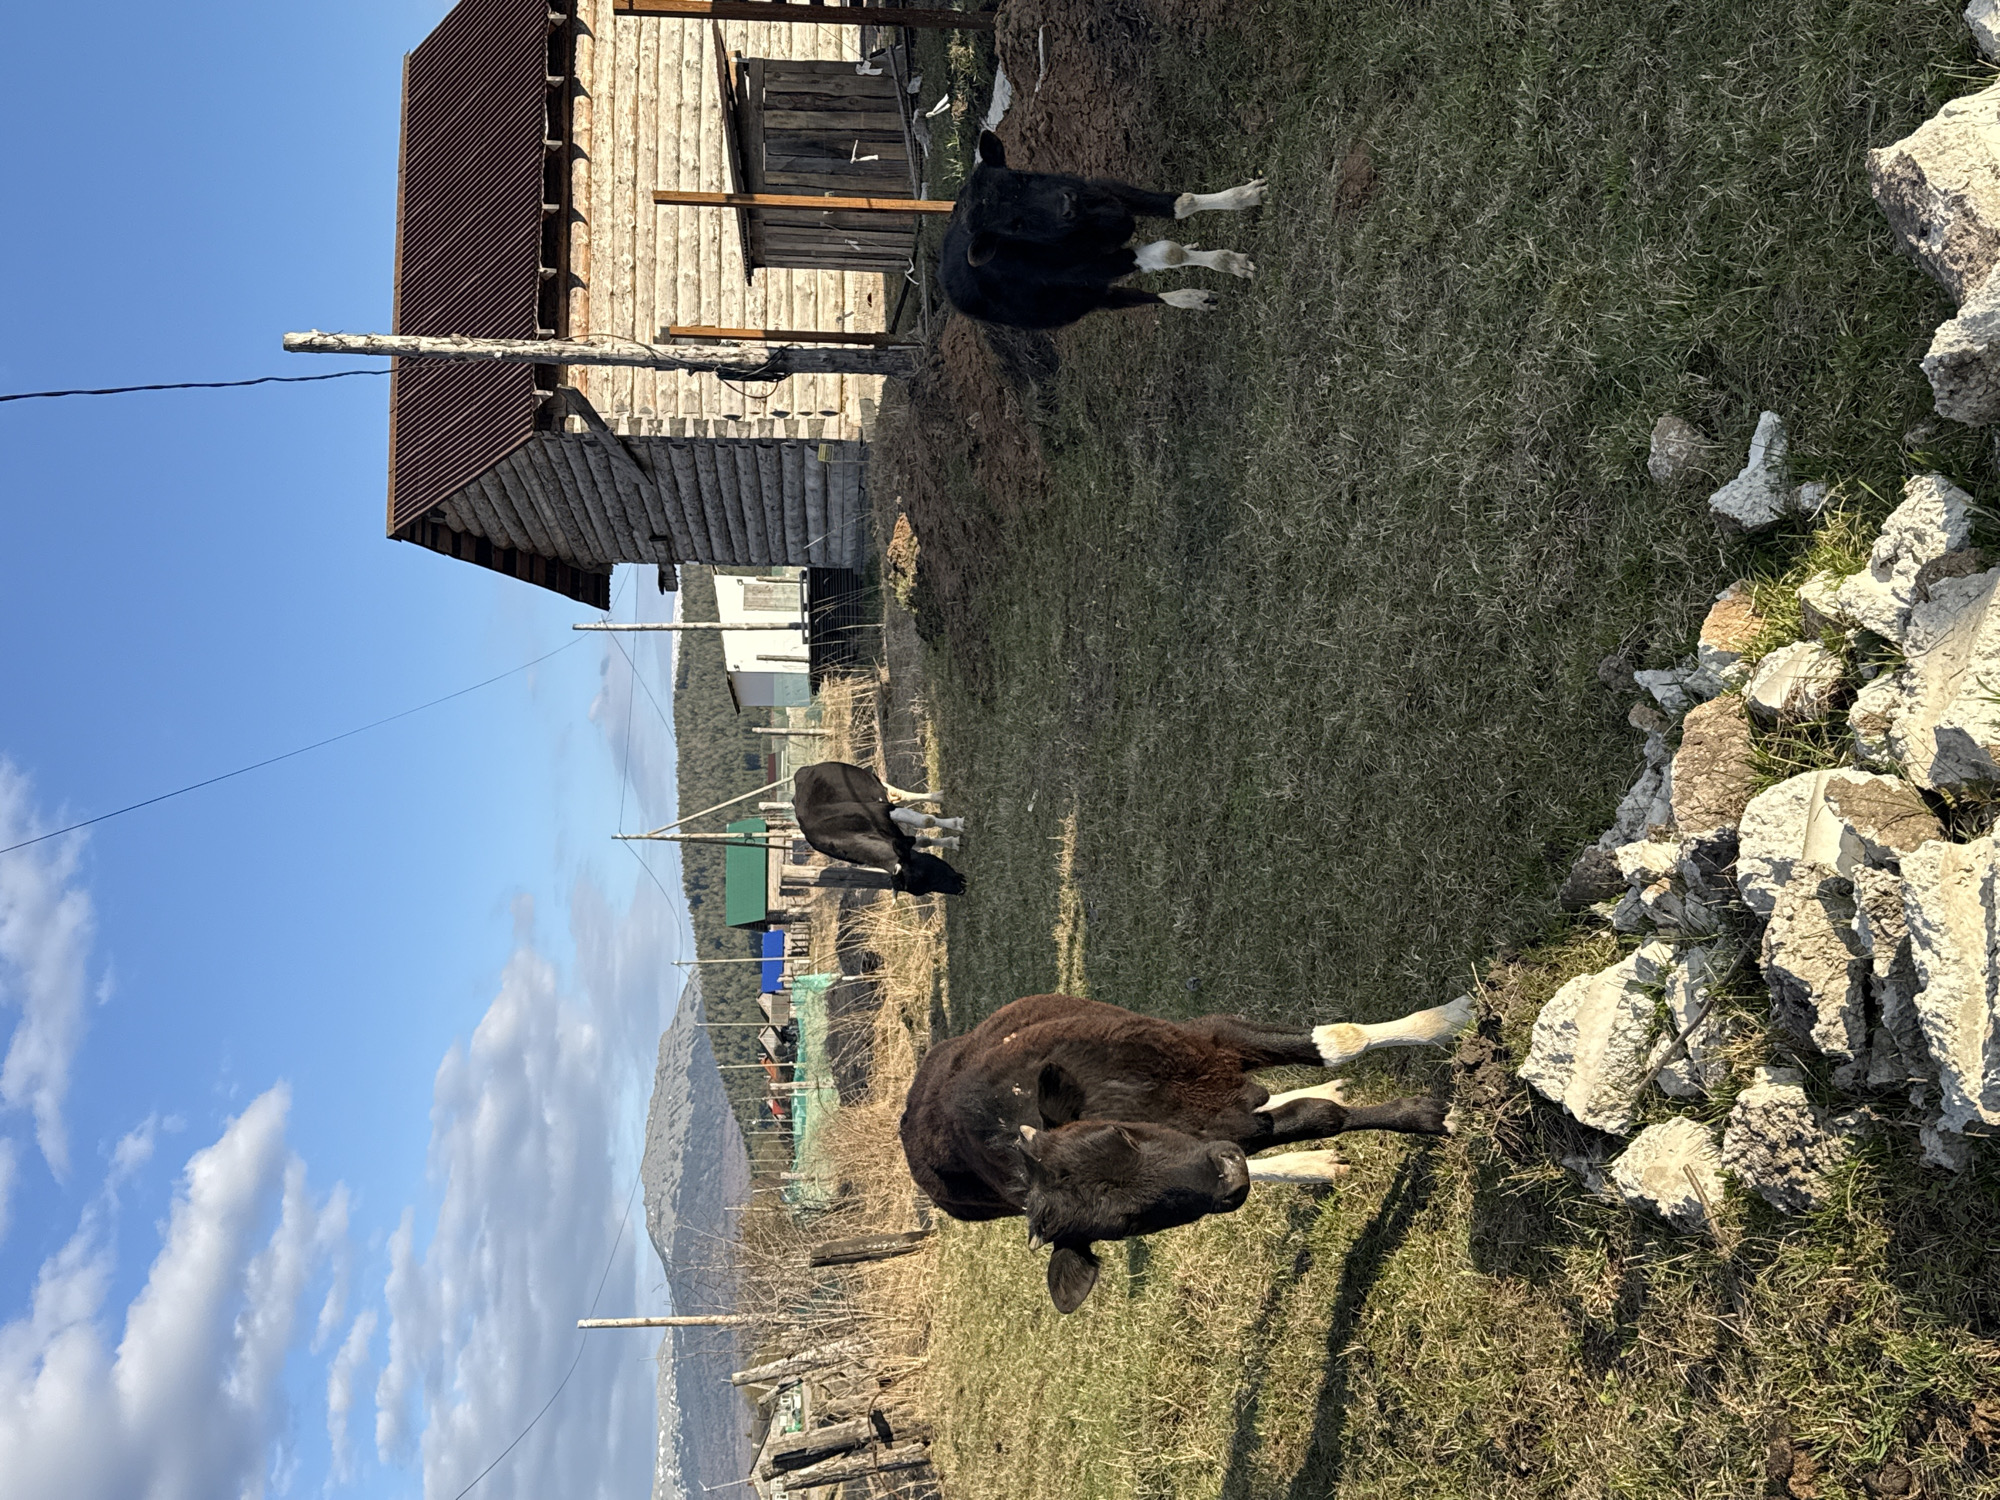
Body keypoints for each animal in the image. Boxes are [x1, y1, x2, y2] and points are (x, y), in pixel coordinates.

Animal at [791, 760, 968, 896]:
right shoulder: (899, 838)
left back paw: (938, 797)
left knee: (899, 793)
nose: (960, 888)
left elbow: (926, 821)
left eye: (929, 870)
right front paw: (952, 842)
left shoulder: (882, 810)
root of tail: (802, 771)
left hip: (870, 777)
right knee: (897, 796)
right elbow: (924, 840)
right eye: (925, 887)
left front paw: (957, 824)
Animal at [899, 991, 1472, 1312]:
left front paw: (1449, 1020)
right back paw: (1307, 1164)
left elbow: (1335, 1042)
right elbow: (1315, 1119)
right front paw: (1433, 1116)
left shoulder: (1207, 1038)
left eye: (1121, 1136)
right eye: (1127, 1223)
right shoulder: (1230, 1126)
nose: (1226, 1174)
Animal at [940, 131, 1267, 330]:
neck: (1091, 225)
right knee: (1130, 298)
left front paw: (1245, 196)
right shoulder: (1094, 267)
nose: (1067, 203)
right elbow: (1169, 252)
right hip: (1083, 301)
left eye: (1020, 178)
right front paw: (1231, 263)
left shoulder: (1106, 191)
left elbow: (1182, 204)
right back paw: (1191, 298)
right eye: (1014, 224)